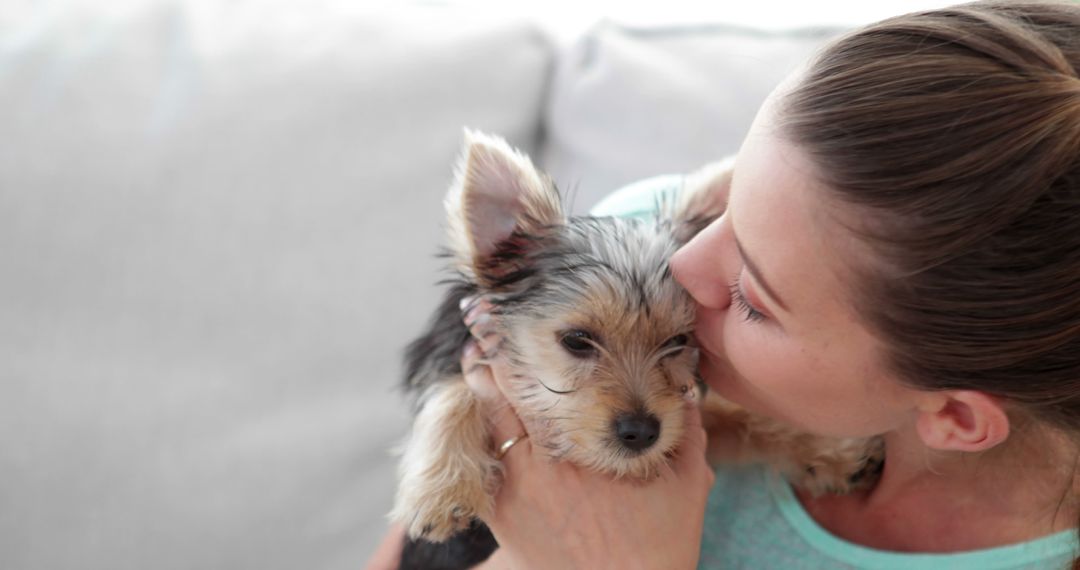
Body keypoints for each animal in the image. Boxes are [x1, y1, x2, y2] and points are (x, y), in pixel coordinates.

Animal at [393, 131, 881, 565]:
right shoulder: (460, 349)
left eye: (678, 342)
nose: (642, 433)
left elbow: (734, 415)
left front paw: (830, 455)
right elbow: (454, 392)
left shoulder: (688, 425)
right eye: (577, 341)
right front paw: (445, 489)